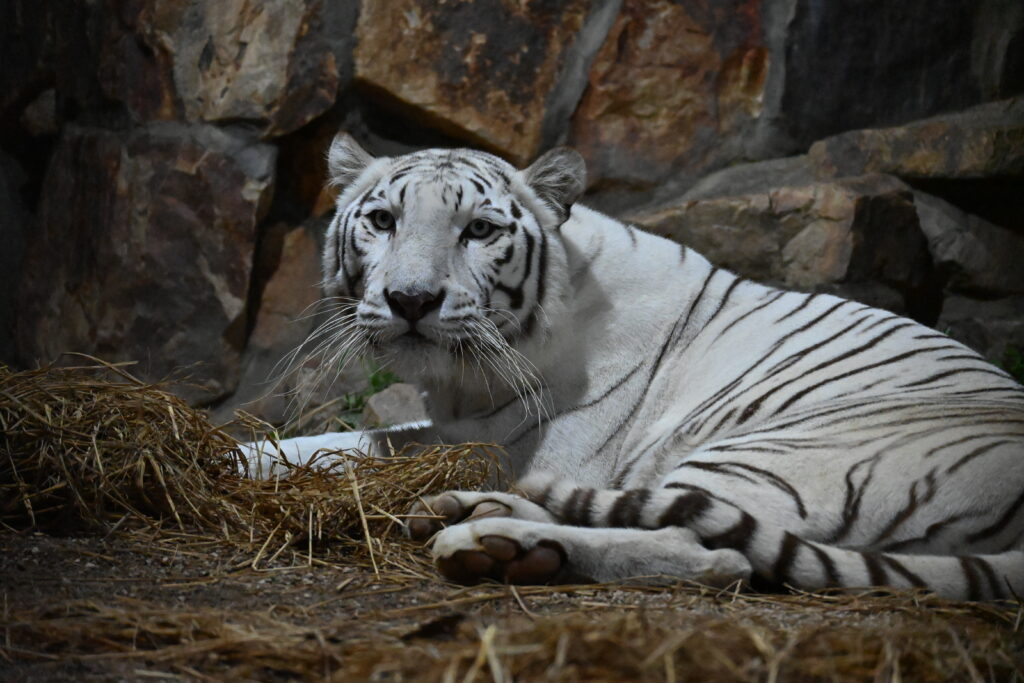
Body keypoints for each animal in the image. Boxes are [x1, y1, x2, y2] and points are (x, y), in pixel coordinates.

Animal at [241, 132, 1024, 598]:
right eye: (382, 221)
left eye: (480, 231)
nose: (409, 300)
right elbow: (334, 442)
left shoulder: (509, 440)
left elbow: (363, 448)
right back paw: (472, 513)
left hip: (771, 454)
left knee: (712, 549)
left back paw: (494, 541)